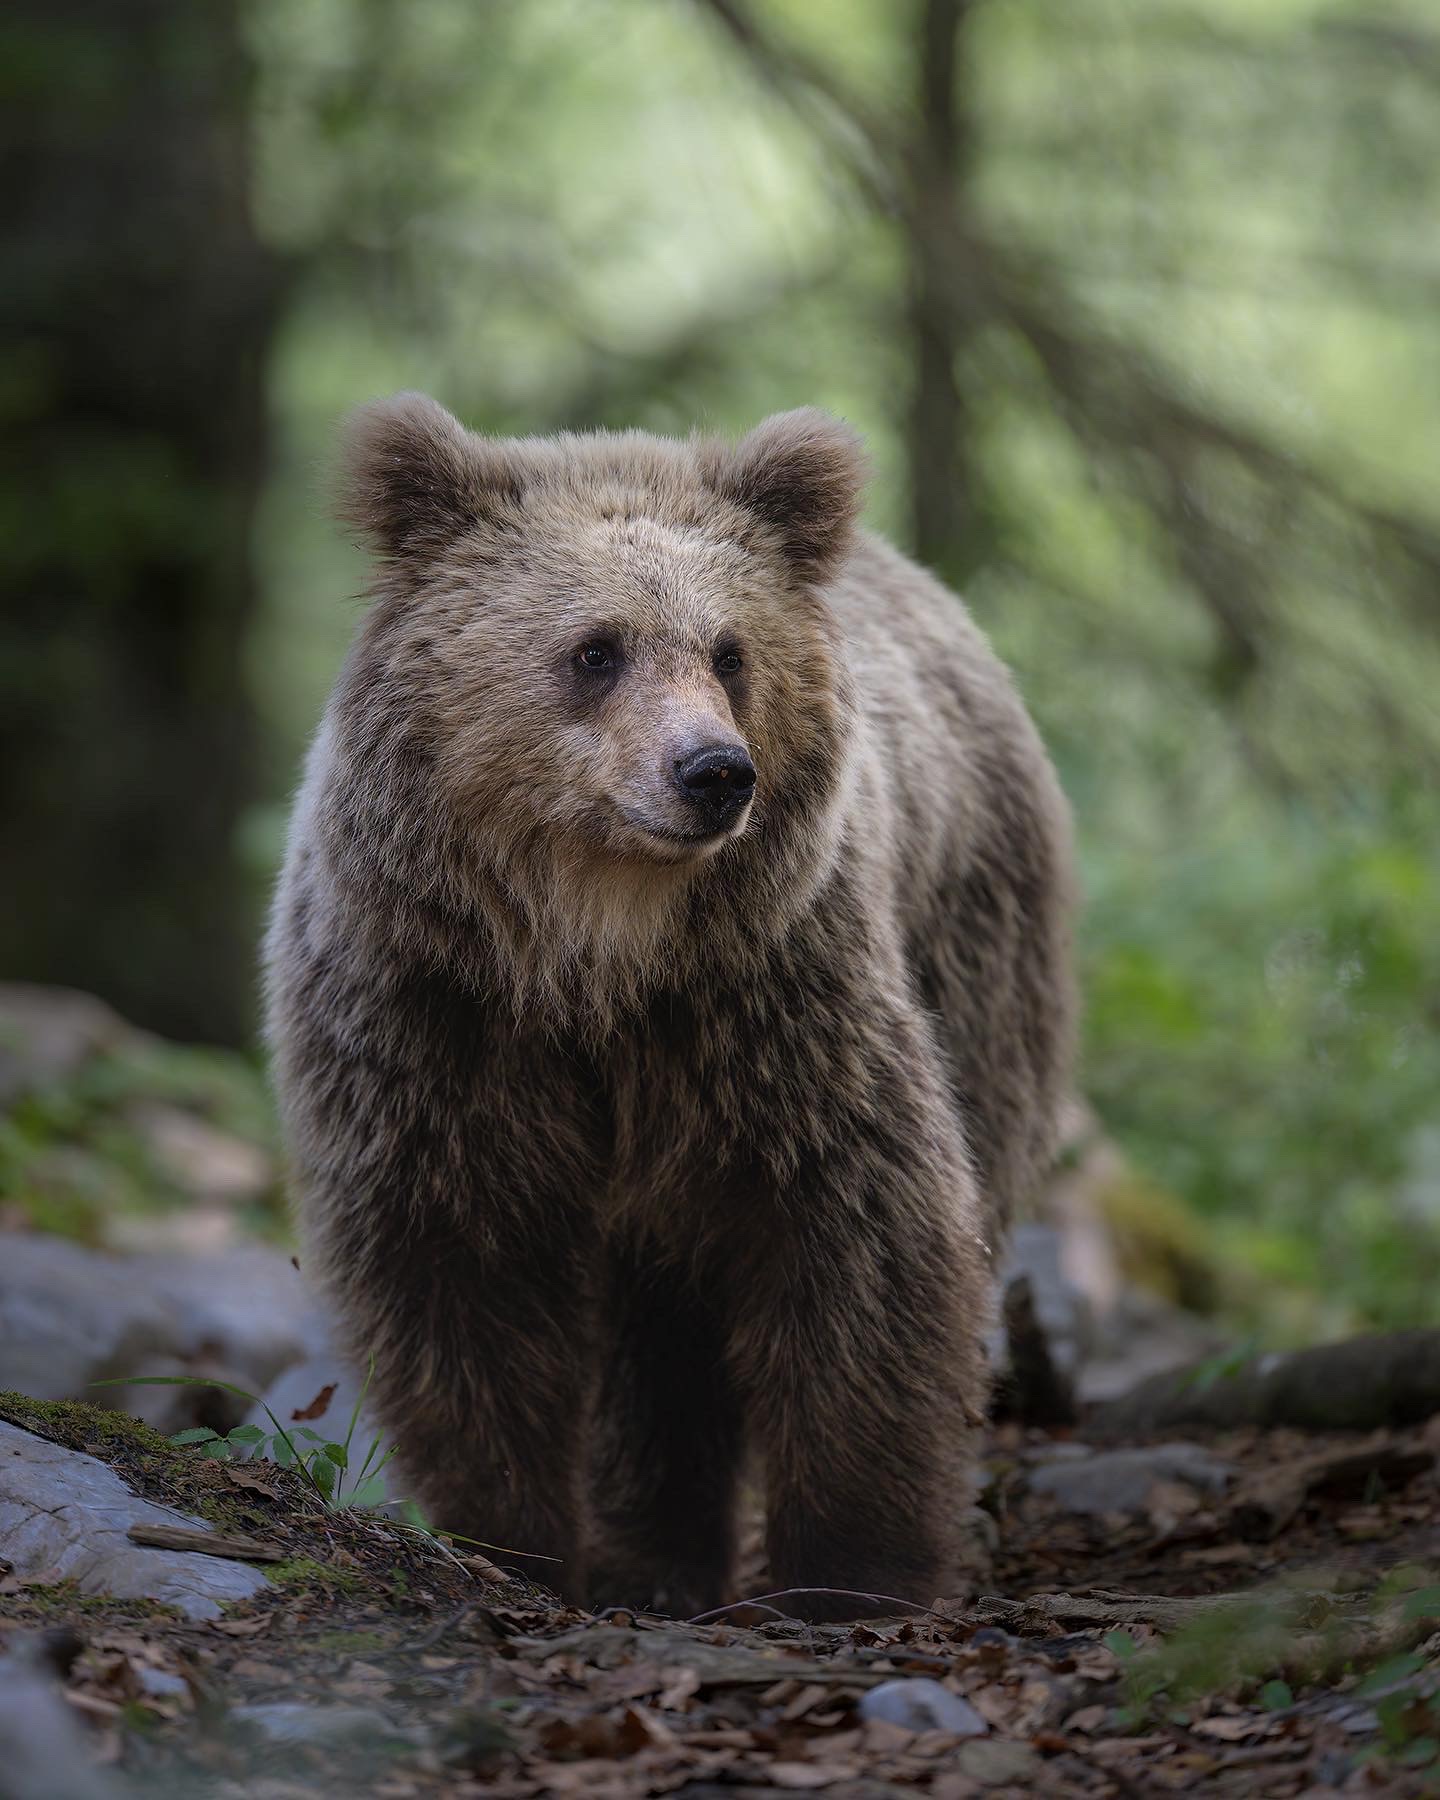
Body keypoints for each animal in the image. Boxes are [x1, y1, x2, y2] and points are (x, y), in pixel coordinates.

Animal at [265, 394, 1075, 1619]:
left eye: (729, 652)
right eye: (596, 649)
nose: (714, 772)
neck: (595, 955)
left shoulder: (769, 1004)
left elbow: (864, 1235)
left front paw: (853, 1569)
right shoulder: (435, 1017)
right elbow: (458, 1264)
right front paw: (511, 1534)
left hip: (973, 950)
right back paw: (652, 1554)